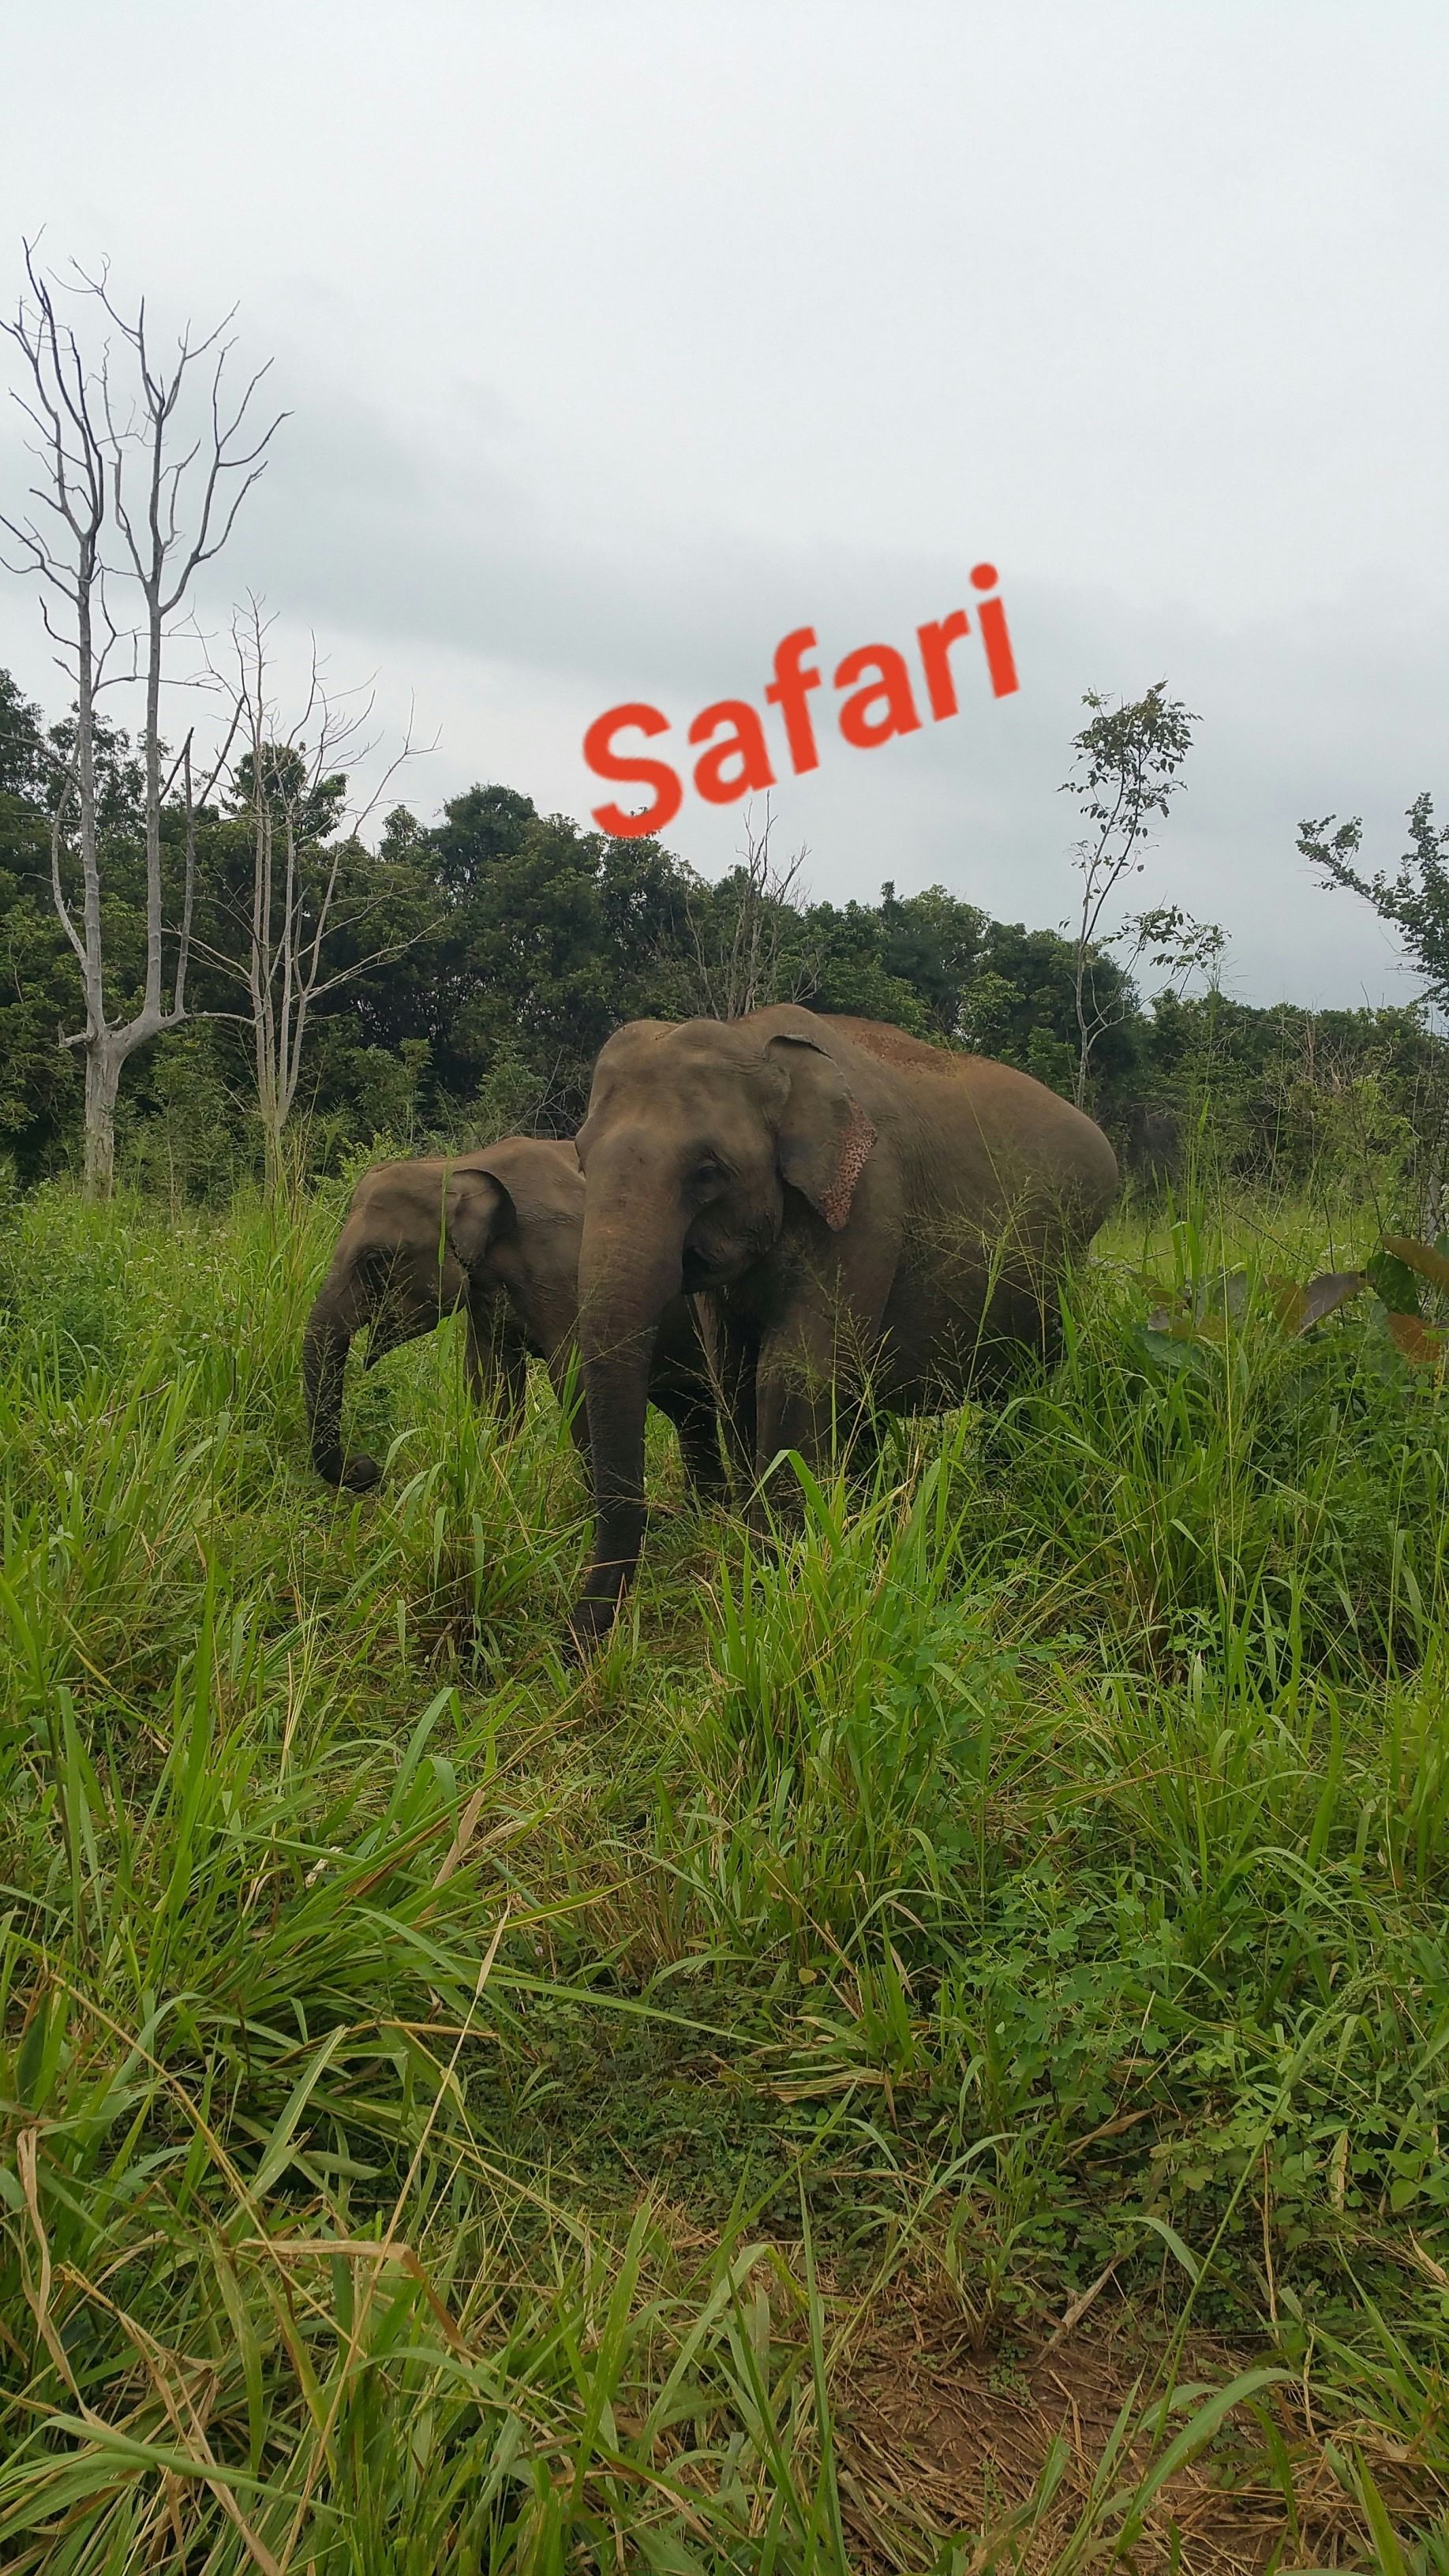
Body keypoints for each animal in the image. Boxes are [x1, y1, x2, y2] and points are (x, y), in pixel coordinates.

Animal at [301, 1135, 727, 1500]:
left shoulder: (570, 1280)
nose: (367, 1468)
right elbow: (491, 1389)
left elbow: (578, 1386)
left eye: (375, 1262)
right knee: (692, 1412)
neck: (453, 1167)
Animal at [568, 1006, 1119, 1646]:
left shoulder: (868, 1202)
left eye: (707, 1172)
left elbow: (793, 1376)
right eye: (580, 1159)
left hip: (1063, 1273)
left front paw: (772, 1584)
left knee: (1031, 1387)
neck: (755, 1041)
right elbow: (735, 1379)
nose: (575, 1644)